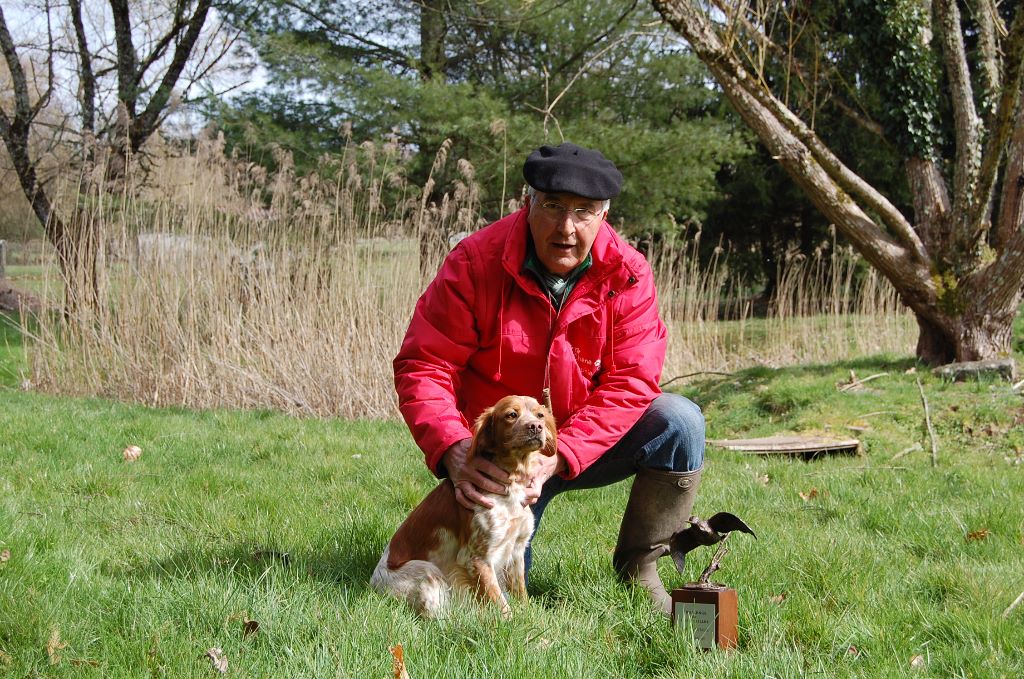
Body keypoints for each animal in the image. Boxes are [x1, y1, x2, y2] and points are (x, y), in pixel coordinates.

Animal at [372, 395, 557, 618]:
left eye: (540, 415)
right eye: (512, 415)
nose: (536, 426)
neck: (513, 482)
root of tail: (373, 584)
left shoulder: (516, 549)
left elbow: (521, 593)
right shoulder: (477, 558)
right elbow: (501, 604)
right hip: (427, 570)